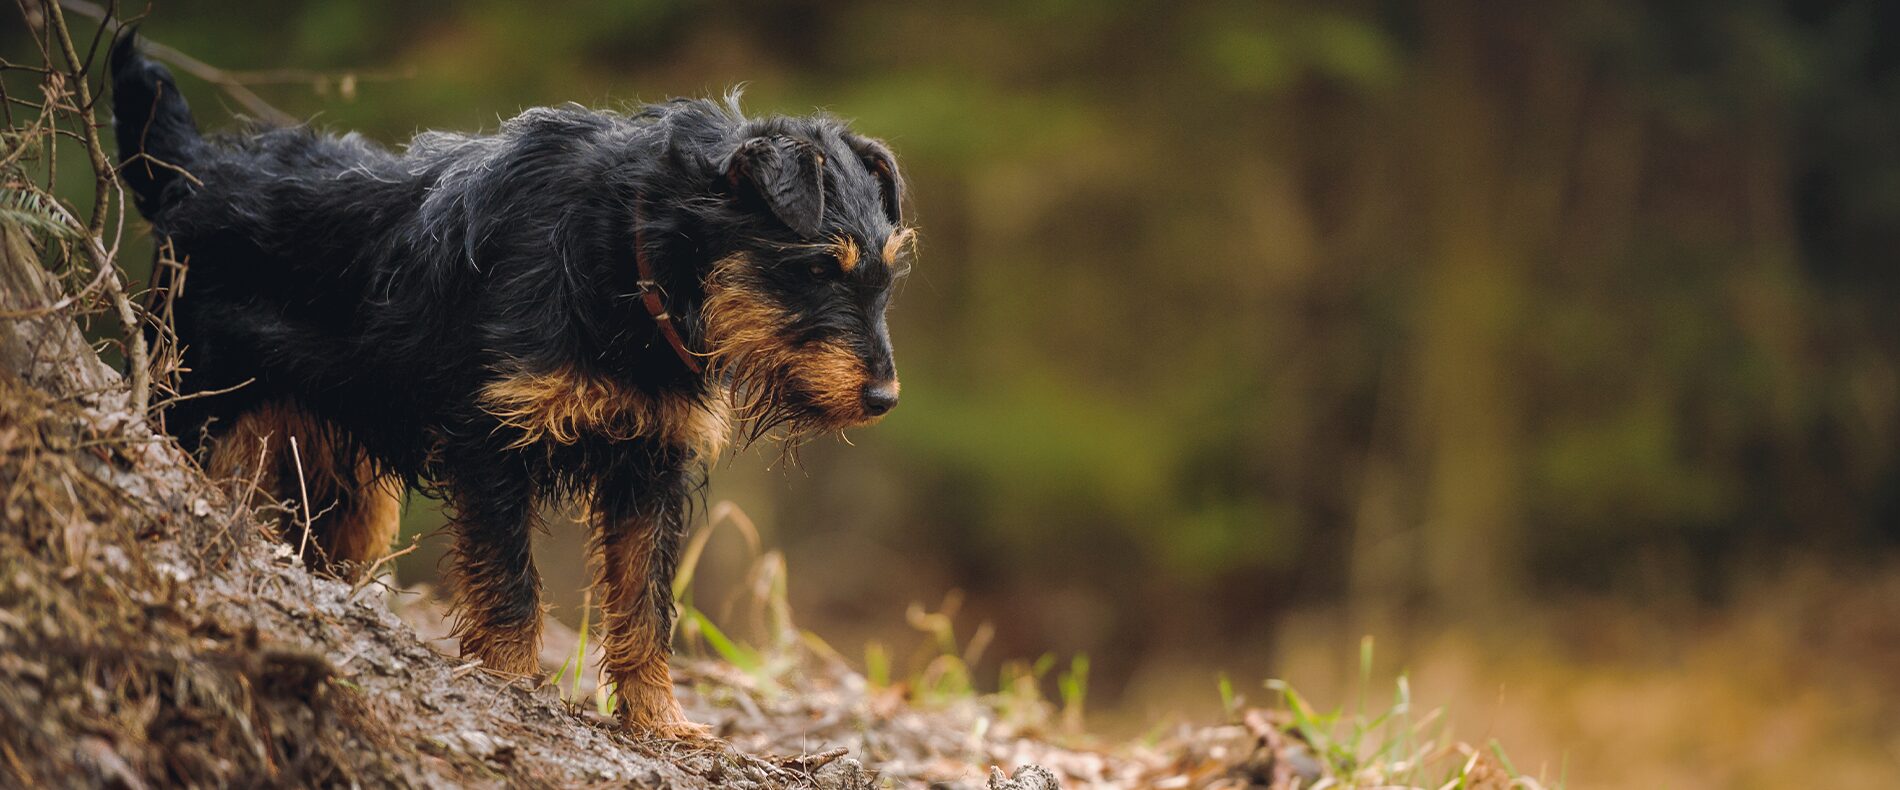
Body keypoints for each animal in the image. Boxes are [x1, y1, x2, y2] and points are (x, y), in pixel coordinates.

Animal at [111, 33, 912, 736]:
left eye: (886, 274)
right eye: (817, 267)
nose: (884, 401)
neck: (628, 259)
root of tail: (196, 171)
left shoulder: (649, 467)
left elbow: (645, 604)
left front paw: (659, 721)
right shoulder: (490, 443)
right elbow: (510, 583)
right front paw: (513, 683)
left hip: (343, 483)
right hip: (194, 406)